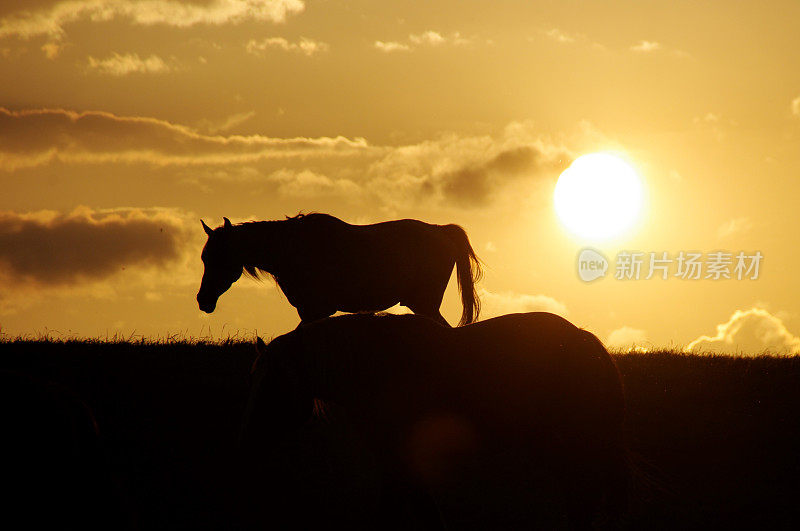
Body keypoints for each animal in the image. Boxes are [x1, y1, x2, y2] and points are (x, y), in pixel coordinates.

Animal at [195, 214, 482, 326]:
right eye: (204, 258)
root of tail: (440, 230)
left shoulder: (315, 310)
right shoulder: (309, 311)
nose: (202, 300)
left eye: (219, 257)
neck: (291, 250)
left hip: (424, 303)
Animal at [241, 312, 628, 528]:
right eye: (257, 380)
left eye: (274, 384)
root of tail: (585, 341)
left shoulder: (396, 452)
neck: (376, 366)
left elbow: (406, 503)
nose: (253, 437)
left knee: (583, 491)